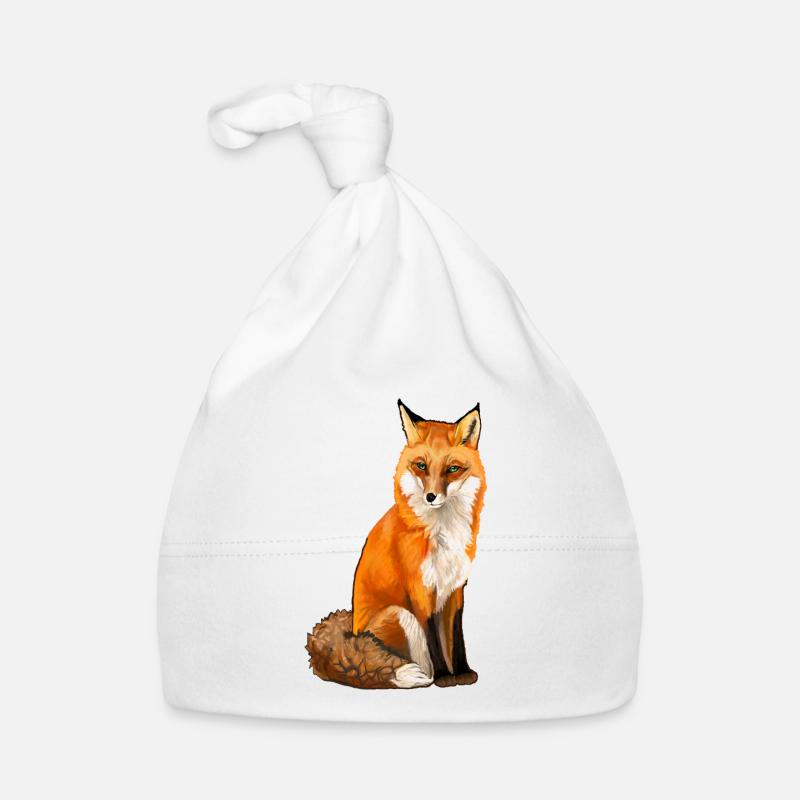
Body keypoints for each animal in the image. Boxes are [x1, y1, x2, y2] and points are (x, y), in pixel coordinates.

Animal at [306, 399, 486, 689]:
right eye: (421, 466)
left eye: (452, 469)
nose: (431, 496)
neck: (442, 532)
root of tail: (352, 631)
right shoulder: (420, 590)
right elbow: (434, 641)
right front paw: (445, 677)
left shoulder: (455, 588)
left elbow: (456, 638)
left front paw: (462, 672)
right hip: (400, 614)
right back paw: (424, 676)